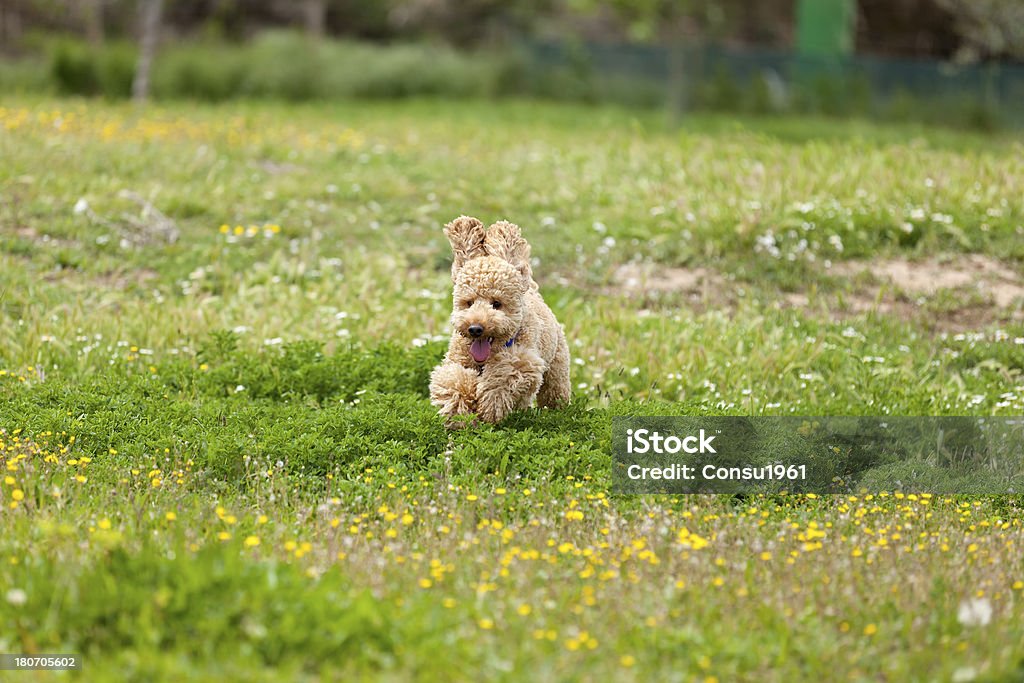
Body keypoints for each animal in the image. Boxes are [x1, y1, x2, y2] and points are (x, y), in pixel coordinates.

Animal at [428, 216, 573, 423]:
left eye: (496, 303)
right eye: (469, 302)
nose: (475, 328)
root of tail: (531, 290)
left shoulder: (525, 362)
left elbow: (502, 376)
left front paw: (488, 406)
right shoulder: (456, 360)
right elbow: (453, 380)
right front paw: (460, 410)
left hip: (556, 368)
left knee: (554, 392)